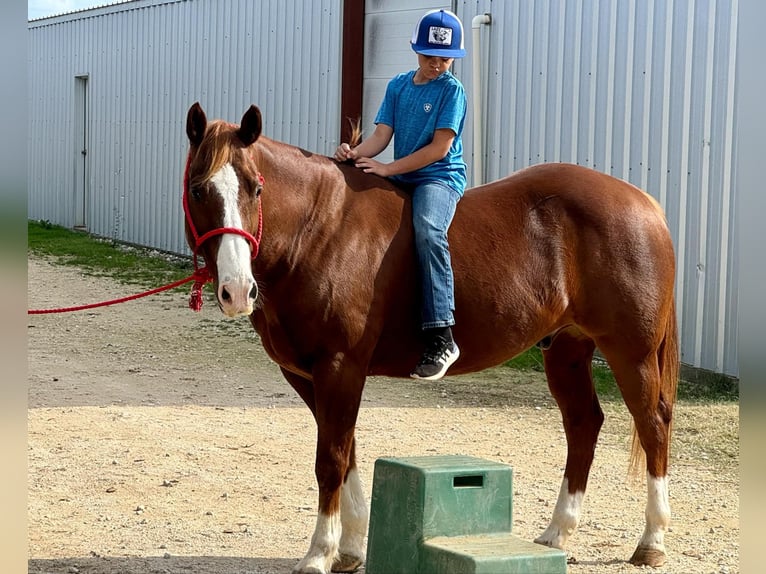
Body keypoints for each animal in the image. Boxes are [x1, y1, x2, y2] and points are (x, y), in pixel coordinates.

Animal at [182, 102, 679, 574]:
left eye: (256, 188)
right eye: (198, 189)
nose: (237, 290)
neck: (319, 230)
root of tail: (644, 203)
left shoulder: (340, 367)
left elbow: (331, 460)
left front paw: (320, 553)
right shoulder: (307, 375)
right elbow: (346, 452)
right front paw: (350, 549)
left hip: (630, 353)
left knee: (652, 425)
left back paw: (652, 541)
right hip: (567, 351)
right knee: (583, 424)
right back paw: (558, 531)